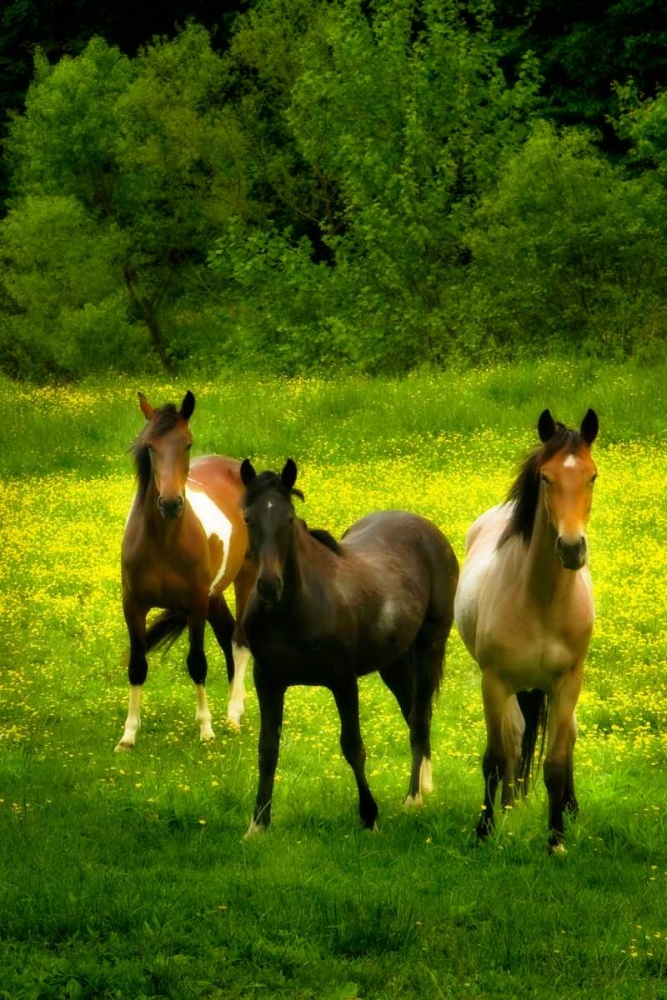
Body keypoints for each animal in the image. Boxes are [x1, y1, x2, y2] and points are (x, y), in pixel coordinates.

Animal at [116, 390, 255, 751]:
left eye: (187, 444)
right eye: (150, 446)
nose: (170, 504)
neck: (164, 542)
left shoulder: (195, 603)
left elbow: (197, 663)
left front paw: (206, 729)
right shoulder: (133, 605)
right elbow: (137, 665)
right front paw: (128, 735)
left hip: (244, 578)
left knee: (239, 640)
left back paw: (233, 715)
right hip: (215, 594)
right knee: (227, 634)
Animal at [238, 458, 459, 836]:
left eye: (288, 519)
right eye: (249, 519)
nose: (268, 586)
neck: (296, 609)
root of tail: (430, 532)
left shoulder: (342, 681)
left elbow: (353, 746)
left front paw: (369, 815)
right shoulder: (267, 681)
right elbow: (267, 750)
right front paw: (258, 824)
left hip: (430, 645)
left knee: (419, 719)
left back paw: (413, 797)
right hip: (394, 663)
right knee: (415, 712)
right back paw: (425, 785)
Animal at [454, 408, 599, 852]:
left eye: (592, 475)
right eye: (546, 478)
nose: (571, 548)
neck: (540, 601)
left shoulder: (567, 683)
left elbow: (555, 762)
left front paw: (556, 840)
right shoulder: (494, 681)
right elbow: (495, 757)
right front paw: (484, 831)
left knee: (565, 738)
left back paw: (571, 809)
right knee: (515, 741)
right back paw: (506, 808)